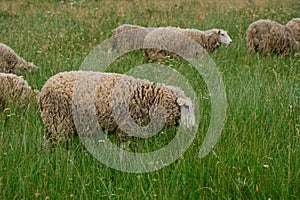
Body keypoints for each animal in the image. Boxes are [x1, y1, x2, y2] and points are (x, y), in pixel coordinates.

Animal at [39, 70, 195, 145]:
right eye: (186, 107)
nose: (193, 127)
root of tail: (44, 88)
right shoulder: (127, 129)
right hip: (59, 121)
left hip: (52, 123)